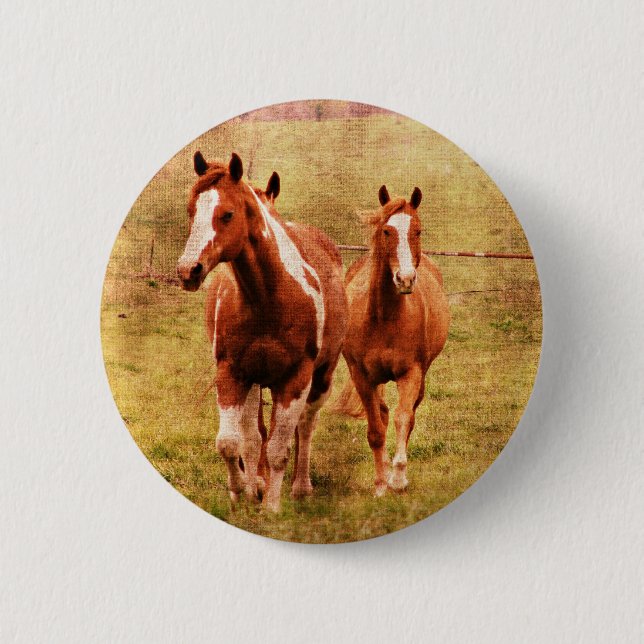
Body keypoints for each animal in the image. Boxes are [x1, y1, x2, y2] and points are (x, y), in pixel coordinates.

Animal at [176, 151, 348, 512]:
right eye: (191, 210)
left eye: (227, 214)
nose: (188, 270)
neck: (269, 299)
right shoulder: (233, 373)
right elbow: (234, 442)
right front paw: (241, 489)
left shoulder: (296, 378)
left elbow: (279, 449)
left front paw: (271, 507)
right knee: (256, 435)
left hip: (322, 377)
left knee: (306, 426)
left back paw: (300, 487)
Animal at [335, 185, 450, 496]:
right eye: (386, 231)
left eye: (418, 231)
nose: (405, 279)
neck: (384, 318)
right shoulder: (362, 376)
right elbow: (376, 429)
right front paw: (380, 484)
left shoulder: (410, 373)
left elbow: (403, 417)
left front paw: (398, 479)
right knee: (383, 414)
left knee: (406, 415)